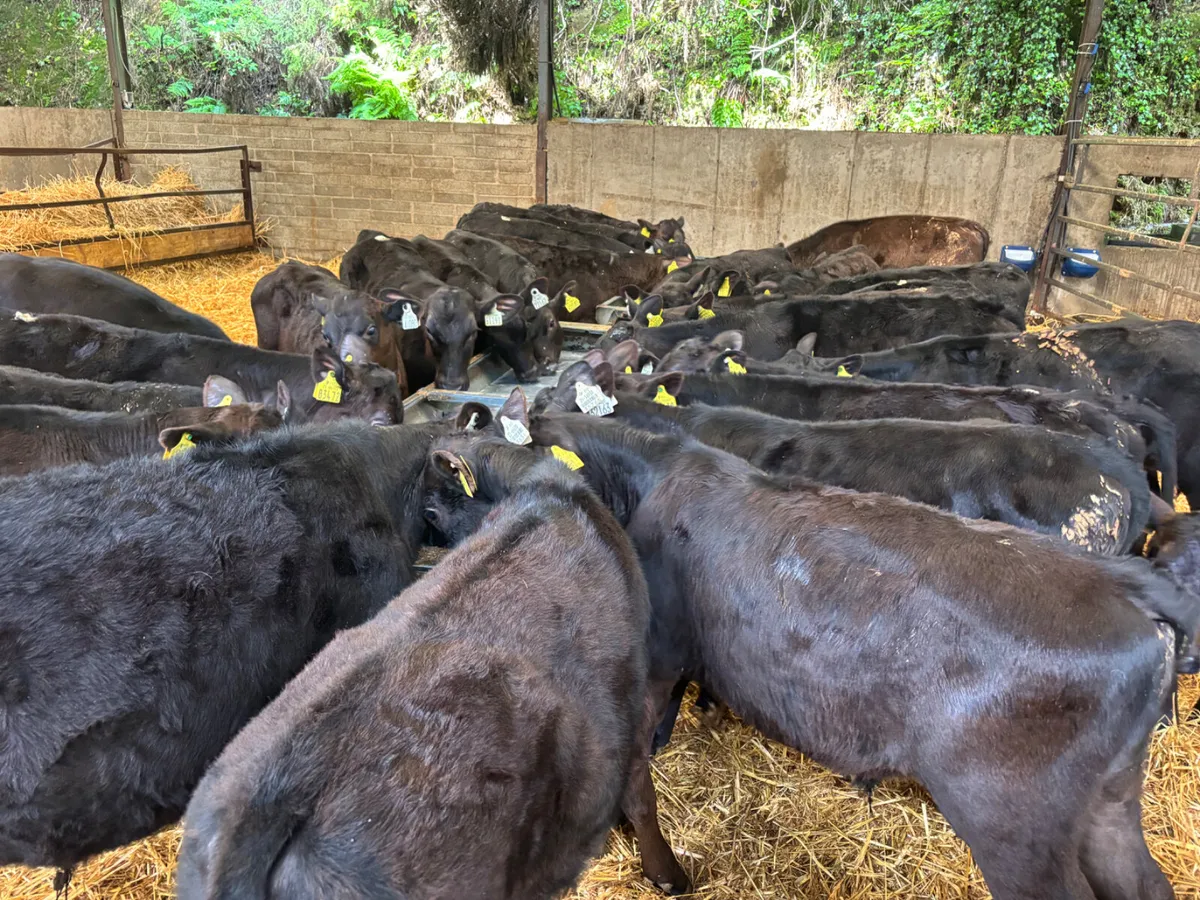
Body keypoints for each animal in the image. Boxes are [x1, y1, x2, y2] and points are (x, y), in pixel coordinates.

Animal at [432, 401, 1197, 900]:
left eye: (453, 496)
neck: (650, 477)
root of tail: (1125, 582)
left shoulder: (653, 660)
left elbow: (637, 781)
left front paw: (666, 873)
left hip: (1014, 823)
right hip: (1107, 800)